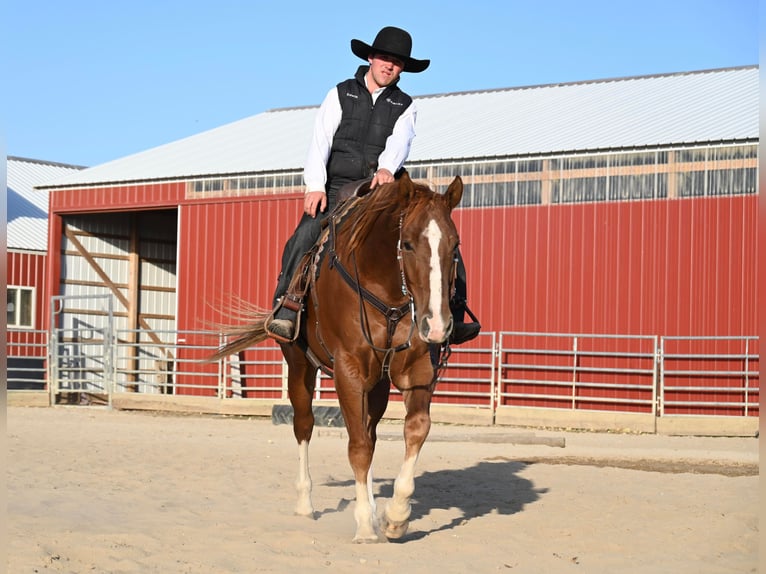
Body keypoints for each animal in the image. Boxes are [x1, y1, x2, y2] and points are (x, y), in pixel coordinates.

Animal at [213, 176, 464, 544]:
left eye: (454, 245)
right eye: (406, 244)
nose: (437, 324)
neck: (387, 290)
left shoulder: (417, 369)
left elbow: (415, 430)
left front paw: (395, 517)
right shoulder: (349, 369)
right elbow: (357, 447)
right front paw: (365, 526)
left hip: (377, 384)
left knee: (370, 432)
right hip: (300, 367)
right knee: (305, 426)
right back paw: (306, 504)